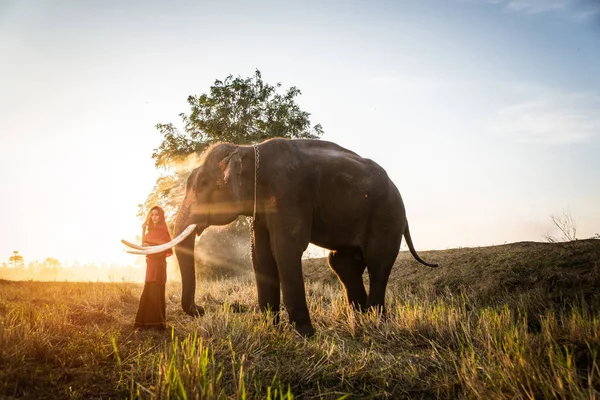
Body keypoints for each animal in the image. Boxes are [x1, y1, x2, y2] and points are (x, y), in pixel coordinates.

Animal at [125, 138, 436, 334]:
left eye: (202, 184)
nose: (201, 309)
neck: (248, 149)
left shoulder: (290, 193)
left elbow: (285, 249)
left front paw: (304, 332)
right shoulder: (263, 207)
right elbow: (260, 255)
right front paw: (268, 326)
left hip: (386, 215)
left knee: (377, 262)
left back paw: (375, 322)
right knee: (342, 263)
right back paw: (359, 319)